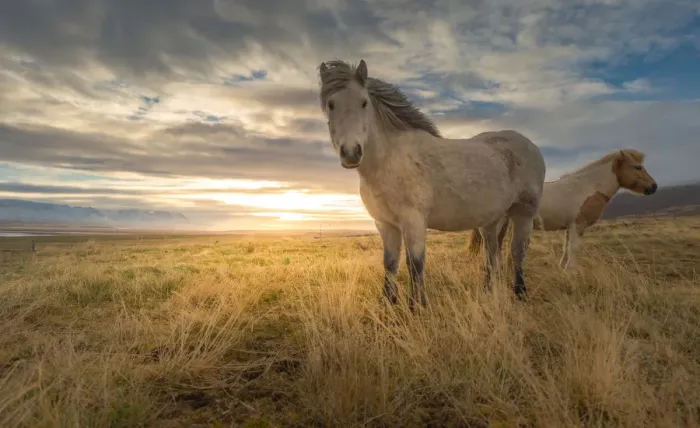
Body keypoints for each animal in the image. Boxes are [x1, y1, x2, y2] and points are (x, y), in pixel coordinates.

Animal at [317, 59, 547, 311]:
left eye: (363, 103)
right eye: (331, 104)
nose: (351, 153)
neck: (391, 159)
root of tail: (531, 146)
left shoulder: (414, 221)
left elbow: (415, 264)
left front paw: (417, 308)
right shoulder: (385, 223)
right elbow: (390, 263)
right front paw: (387, 303)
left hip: (524, 213)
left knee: (517, 252)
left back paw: (520, 292)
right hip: (491, 220)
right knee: (492, 253)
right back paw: (487, 291)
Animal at [467, 149, 658, 270]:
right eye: (637, 167)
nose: (653, 187)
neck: (587, 188)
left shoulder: (570, 227)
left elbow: (567, 248)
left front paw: (563, 268)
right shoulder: (578, 225)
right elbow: (574, 248)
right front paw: (571, 271)